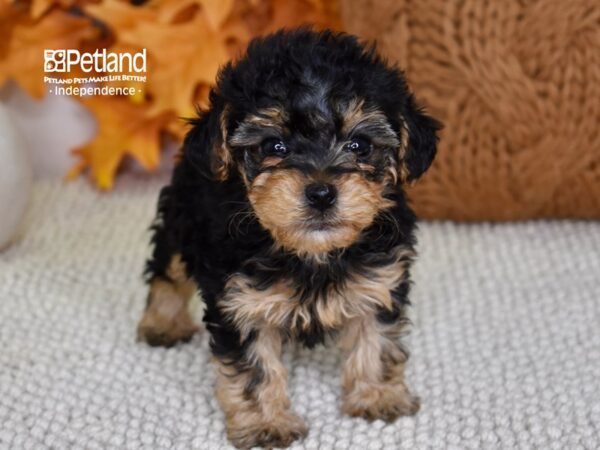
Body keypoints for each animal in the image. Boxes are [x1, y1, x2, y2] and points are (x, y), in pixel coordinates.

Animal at [137, 29, 440, 450]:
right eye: (273, 147)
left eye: (360, 145)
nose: (321, 193)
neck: (311, 253)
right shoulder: (240, 302)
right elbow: (255, 370)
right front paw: (266, 423)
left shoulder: (379, 280)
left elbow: (377, 339)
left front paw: (378, 395)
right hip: (182, 216)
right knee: (168, 269)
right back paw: (162, 322)